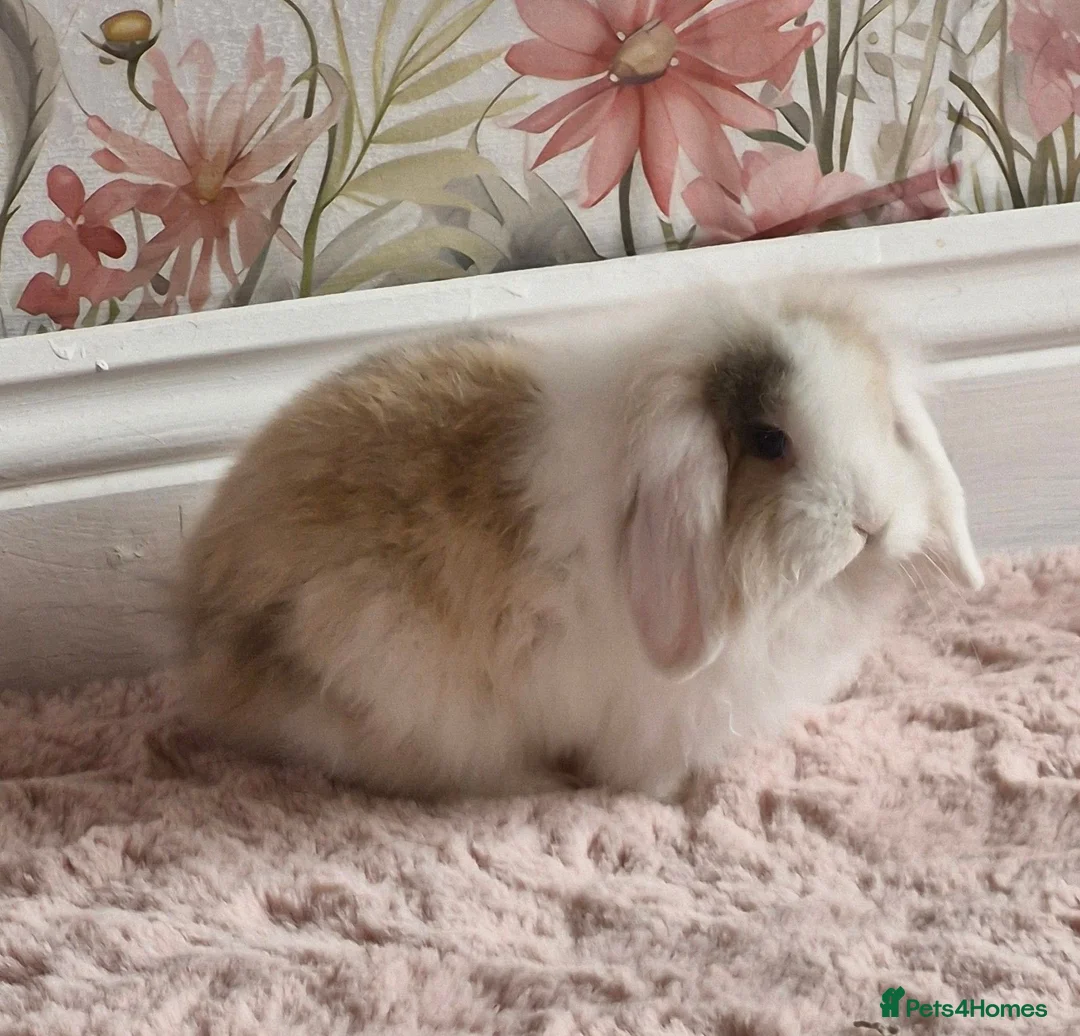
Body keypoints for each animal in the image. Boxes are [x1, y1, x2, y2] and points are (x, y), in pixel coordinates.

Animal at [174, 278, 983, 801]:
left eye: (885, 422)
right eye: (769, 440)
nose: (872, 521)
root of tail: (202, 639)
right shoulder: (655, 718)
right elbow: (647, 773)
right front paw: (671, 800)